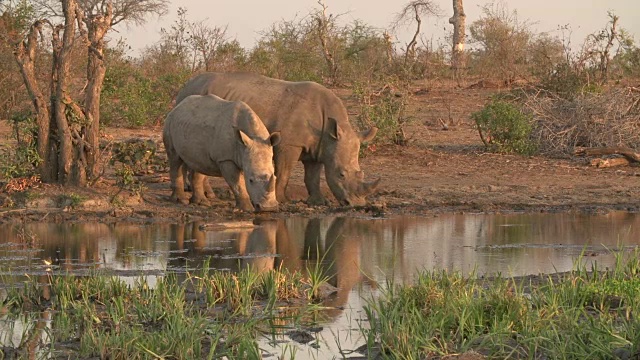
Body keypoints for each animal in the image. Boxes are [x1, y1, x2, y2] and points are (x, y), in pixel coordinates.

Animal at [175, 71, 380, 207]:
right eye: (341, 174)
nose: (357, 204)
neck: (331, 130)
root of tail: (186, 85)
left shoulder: (318, 146)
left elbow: (312, 176)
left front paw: (318, 202)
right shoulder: (289, 144)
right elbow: (284, 172)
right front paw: (283, 200)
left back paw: (205, 195)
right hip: (194, 101)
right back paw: (205, 196)